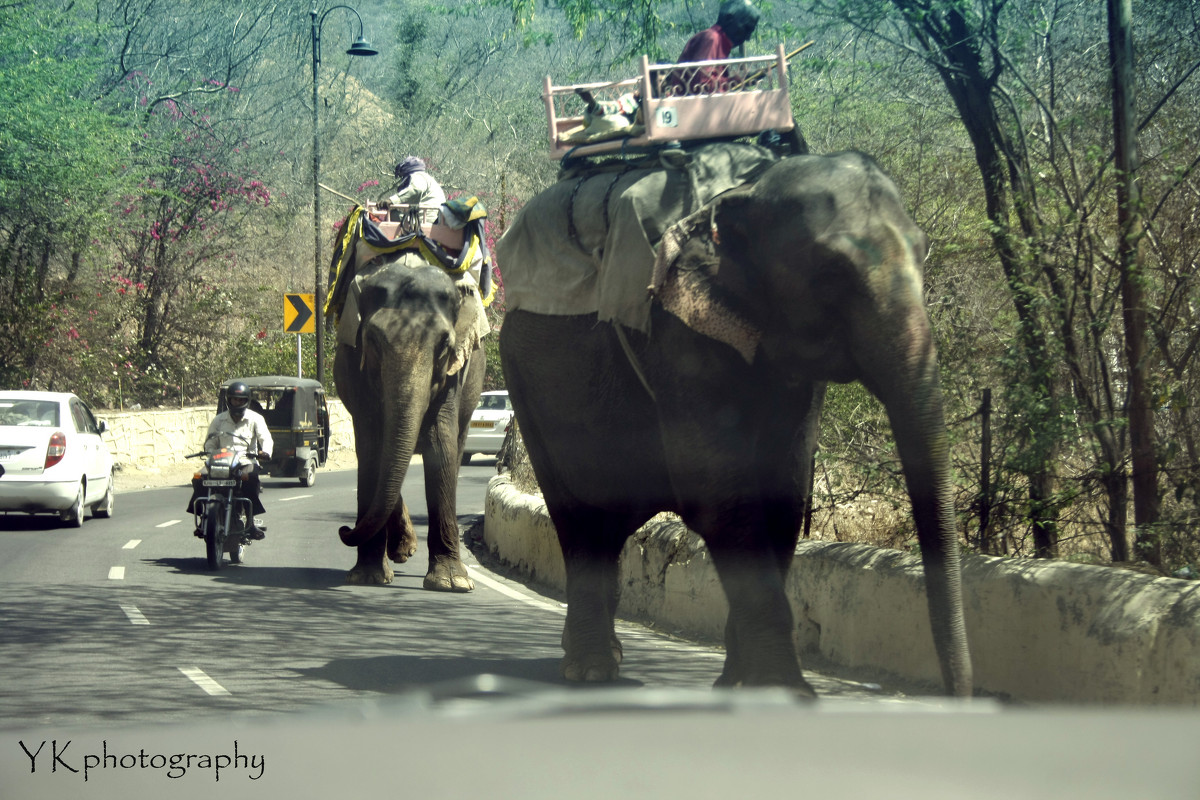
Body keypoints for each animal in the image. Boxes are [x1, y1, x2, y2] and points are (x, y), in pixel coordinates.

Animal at [496, 151, 974, 700]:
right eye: (830, 273)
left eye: (924, 250)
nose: (962, 696)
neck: (744, 194)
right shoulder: (676, 334)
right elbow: (721, 493)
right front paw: (784, 693)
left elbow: (784, 492)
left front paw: (740, 686)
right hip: (527, 385)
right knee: (580, 520)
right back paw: (591, 671)